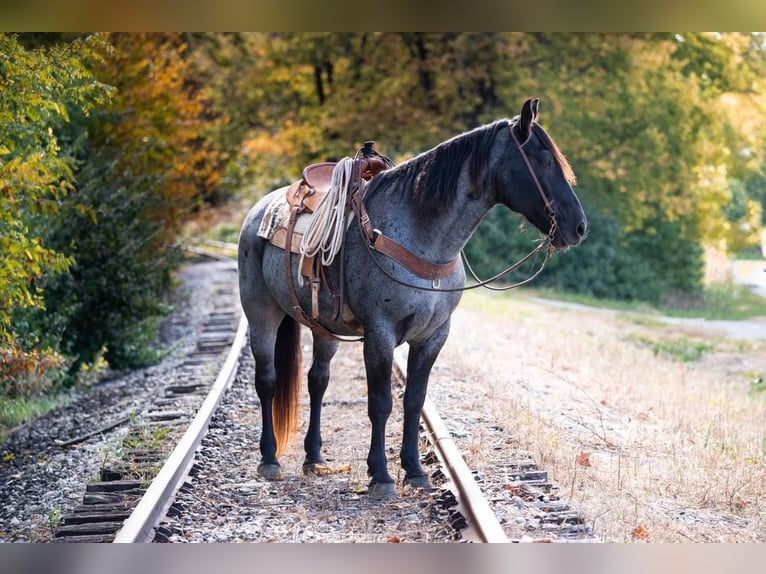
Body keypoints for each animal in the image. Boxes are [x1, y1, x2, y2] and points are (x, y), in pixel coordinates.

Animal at [238, 99, 588, 500]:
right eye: (543, 160)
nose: (578, 227)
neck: (418, 235)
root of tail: (261, 208)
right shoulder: (380, 334)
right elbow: (380, 403)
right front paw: (381, 475)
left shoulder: (433, 336)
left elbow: (414, 401)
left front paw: (415, 471)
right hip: (261, 313)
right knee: (267, 379)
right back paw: (269, 458)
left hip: (323, 327)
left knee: (317, 380)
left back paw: (314, 458)